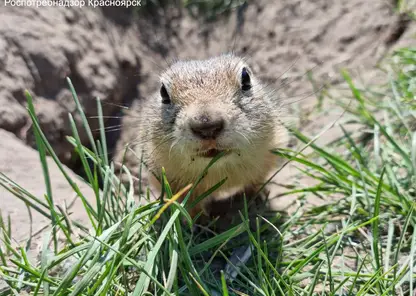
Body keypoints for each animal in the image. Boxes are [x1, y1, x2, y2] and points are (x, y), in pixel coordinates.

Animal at [138, 54, 288, 219]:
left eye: (246, 78)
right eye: (163, 92)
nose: (207, 127)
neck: (219, 170)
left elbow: (255, 184)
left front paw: (256, 199)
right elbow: (189, 206)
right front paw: (200, 222)